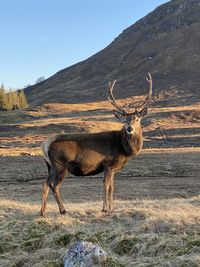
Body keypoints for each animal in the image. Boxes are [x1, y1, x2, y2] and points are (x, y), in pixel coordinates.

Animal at [39, 74, 152, 218]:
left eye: (137, 119)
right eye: (124, 120)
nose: (129, 128)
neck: (123, 149)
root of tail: (45, 144)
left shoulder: (113, 169)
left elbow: (112, 187)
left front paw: (112, 208)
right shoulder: (108, 164)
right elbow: (106, 186)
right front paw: (105, 209)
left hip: (50, 166)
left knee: (47, 183)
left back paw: (44, 211)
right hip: (59, 164)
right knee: (53, 185)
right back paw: (60, 210)